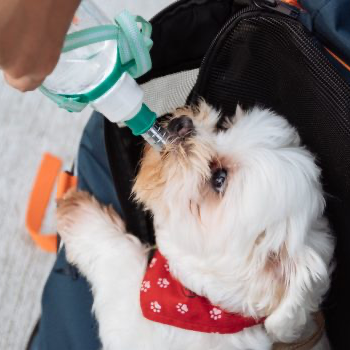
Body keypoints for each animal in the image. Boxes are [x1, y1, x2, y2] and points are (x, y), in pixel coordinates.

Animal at [58, 101, 334, 350]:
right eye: (224, 127)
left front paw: (80, 215)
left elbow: (118, 263)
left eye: (219, 179)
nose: (182, 125)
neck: (198, 304)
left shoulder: (133, 326)